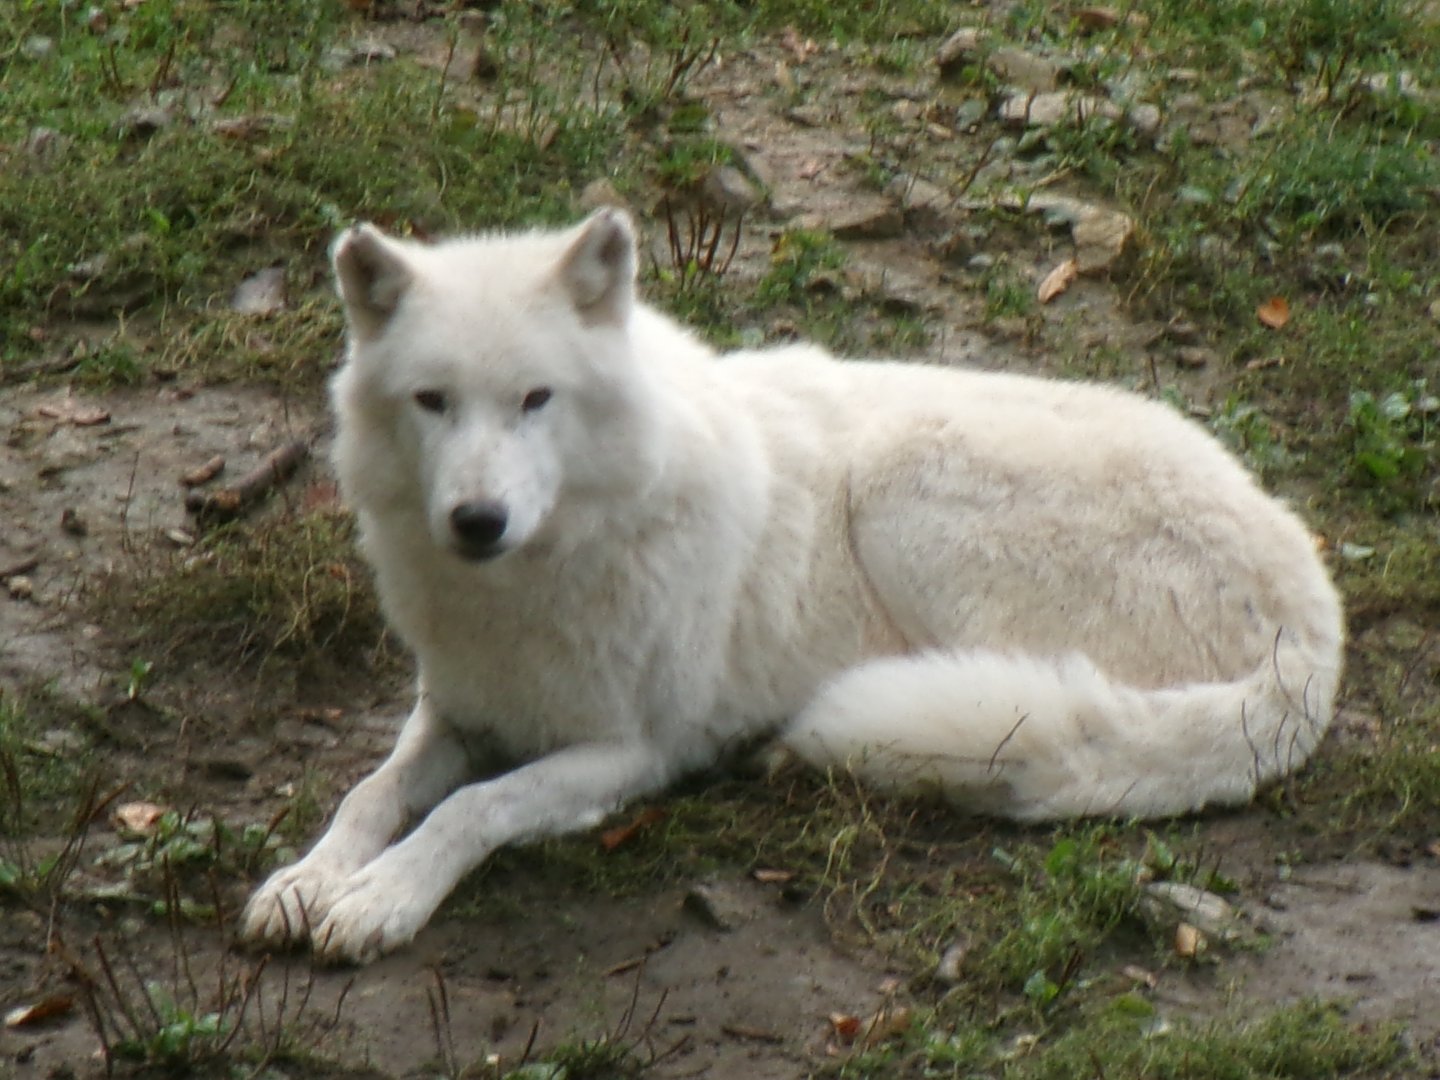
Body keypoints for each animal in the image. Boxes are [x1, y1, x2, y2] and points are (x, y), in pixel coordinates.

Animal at [241, 209, 1343, 963]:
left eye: (535, 400)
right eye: (432, 402)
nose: (477, 521)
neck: (542, 576)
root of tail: (1314, 614)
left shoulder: (632, 752)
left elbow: (473, 810)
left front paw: (380, 900)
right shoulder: (457, 709)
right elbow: (370, 794)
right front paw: (306, 881)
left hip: (905, 485)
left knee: (1023, 726)